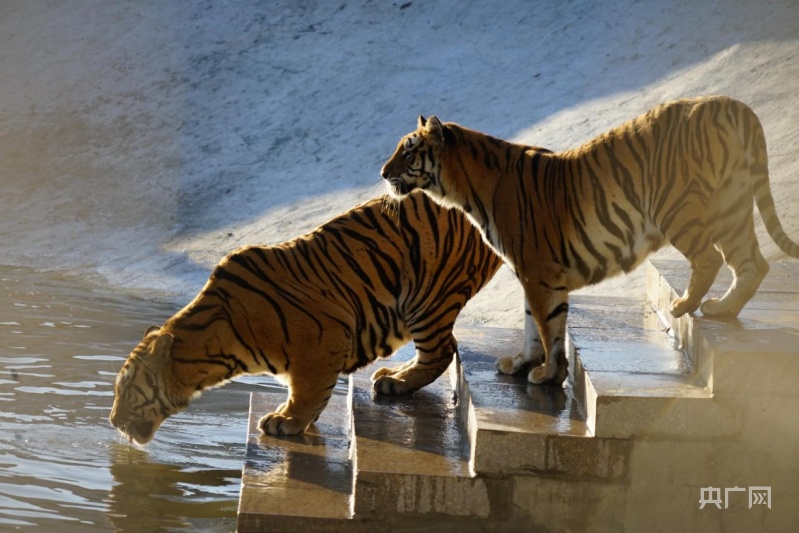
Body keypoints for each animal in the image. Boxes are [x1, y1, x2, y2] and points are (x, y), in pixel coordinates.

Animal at [109, 191, 503, 444]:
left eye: (125, 389)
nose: (112, 420)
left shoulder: (322, 340)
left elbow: (308, 390)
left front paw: (286, 421)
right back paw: (394, 377)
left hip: (428, 297)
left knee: (442, 350)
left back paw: (398, 382)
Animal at [380, 95, 799, 387]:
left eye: (409, 151)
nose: (383, 172)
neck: (463, 190)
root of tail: (728, 103)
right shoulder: (536, 274)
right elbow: (536, 326)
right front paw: (523, 365)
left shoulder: (537, 272)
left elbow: (548, 328)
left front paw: (546, 374)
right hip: (732, 207)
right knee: (752, 264)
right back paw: (722, 310)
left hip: (679, 208)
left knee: (711, 259)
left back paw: (683, 305)